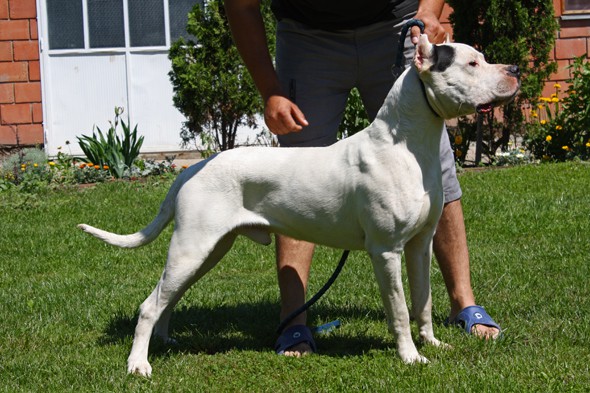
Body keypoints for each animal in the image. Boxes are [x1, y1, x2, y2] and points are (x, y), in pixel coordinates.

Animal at [80, 35, 524, 376]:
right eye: (472, 63)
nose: (516, 69)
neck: (409, 144)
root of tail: (194, 168)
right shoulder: (386, 252)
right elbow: (399, 310)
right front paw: (411, 357)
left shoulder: (419, 246)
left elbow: (424, 301)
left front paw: (432, 343)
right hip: (192, 247)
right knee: (149, 304)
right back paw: (139, 364)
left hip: (206, 251)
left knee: (166, 298)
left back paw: (164, 340)